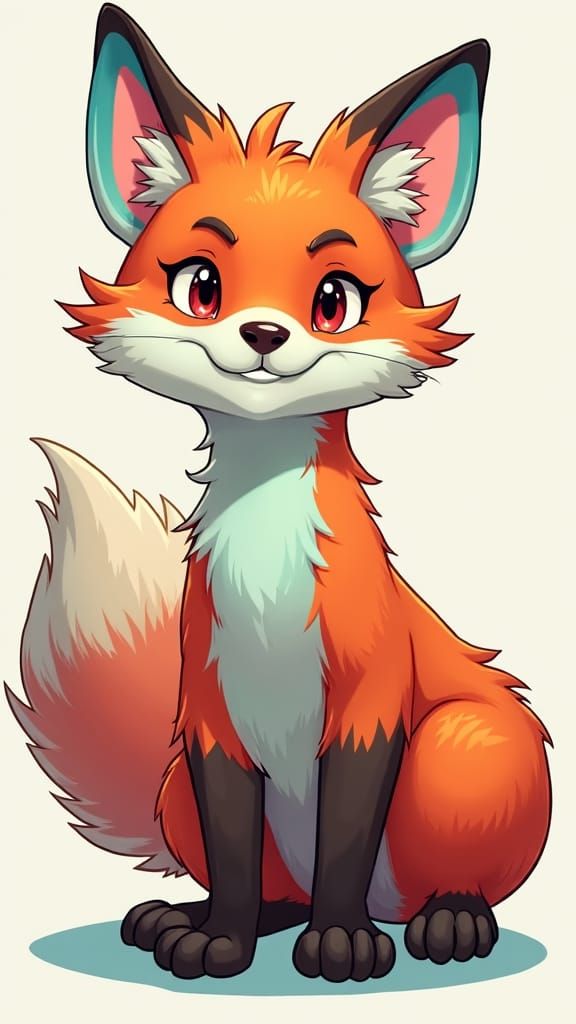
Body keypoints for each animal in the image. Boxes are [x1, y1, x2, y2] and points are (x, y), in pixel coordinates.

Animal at [6, 3, 552, 985]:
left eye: (333, 299)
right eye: (202, 286)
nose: (263, 334)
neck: (265, 586)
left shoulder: (371, 713)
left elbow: (345, 839)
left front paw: (342, 945)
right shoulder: (212, 723)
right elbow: (232, 850)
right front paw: (220, 940)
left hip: (462, 749)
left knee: (433, 884)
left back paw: (446, 921)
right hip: (177, 782)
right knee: (271, 885)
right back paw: (201, 918)